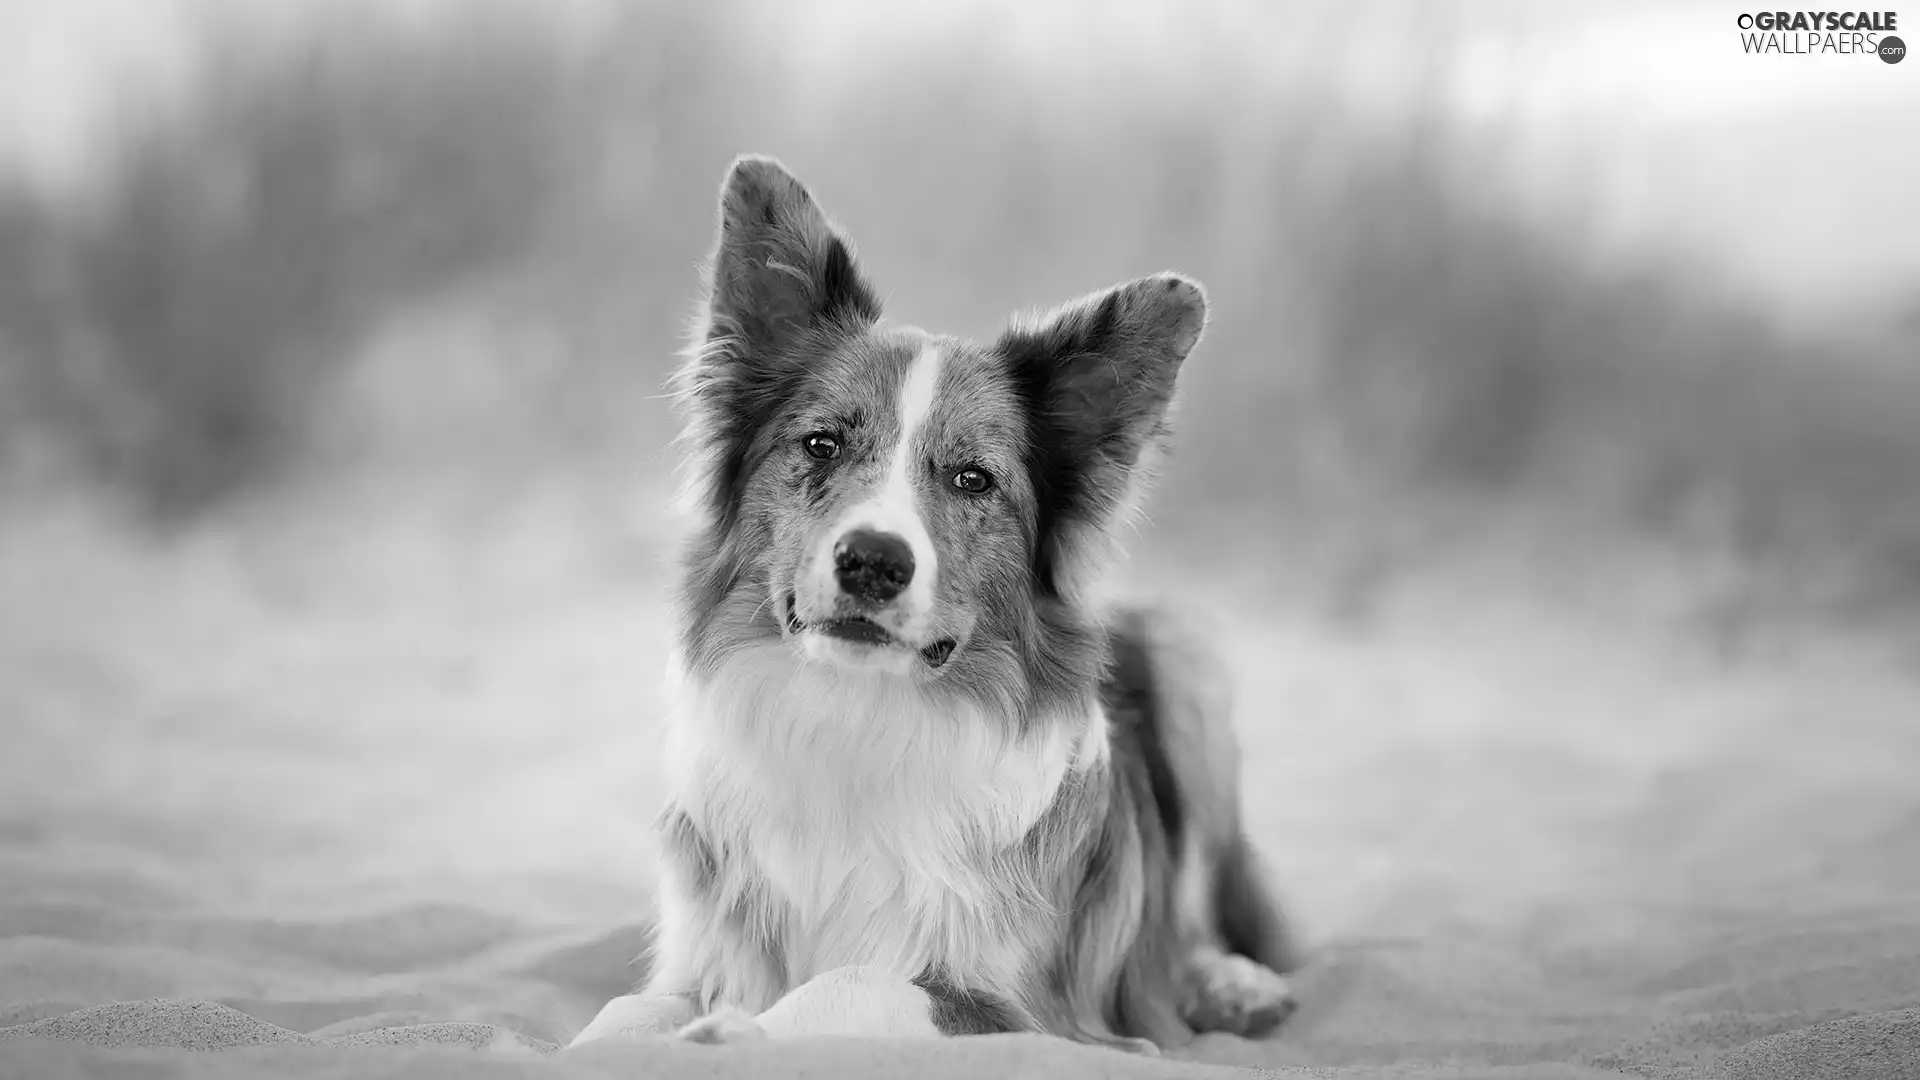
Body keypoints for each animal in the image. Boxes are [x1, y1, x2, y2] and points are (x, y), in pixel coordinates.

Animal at [560, 155, 1297, 1045]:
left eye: (973, 478)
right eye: (821, 444)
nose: (873, 562)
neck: (856, 715)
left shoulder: (1022, 1011)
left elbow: (852, 983)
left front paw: (736, 1034)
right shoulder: (705, 953)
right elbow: (623, 1011)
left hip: (1186, 655)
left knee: (1192, 922)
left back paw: (1234, 983)